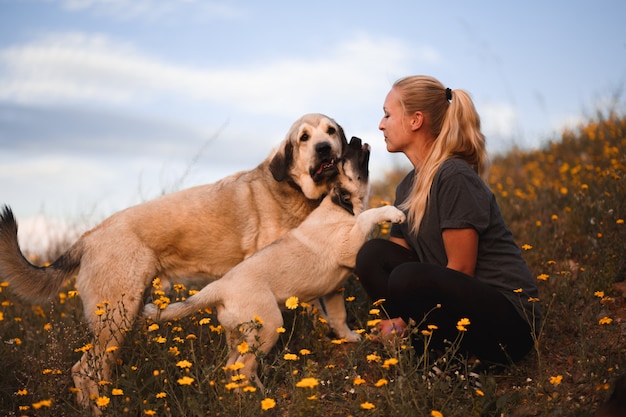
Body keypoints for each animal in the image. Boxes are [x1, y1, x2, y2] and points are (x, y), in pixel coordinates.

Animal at [0, 112, 346, 408]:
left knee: (96, 370)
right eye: (304, 138)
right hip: (115, 317)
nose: (325, 148)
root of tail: (88, 236)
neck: (293, 192)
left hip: (123, 317)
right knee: (84, 370)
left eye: (330, 131)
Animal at [143, 137, 404, 390]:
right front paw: (392, 213)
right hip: (268, 326)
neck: (339, 207)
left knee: (232, 367)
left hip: (238, 336)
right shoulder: (349, 246)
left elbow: (339, 318)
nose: (356, 138)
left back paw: (241, 394)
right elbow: (366, 217)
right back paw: (258, 394)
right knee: (245, 366)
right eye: (343, 159)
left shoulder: (333, 291)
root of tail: (219, 288)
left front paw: (349, 337)